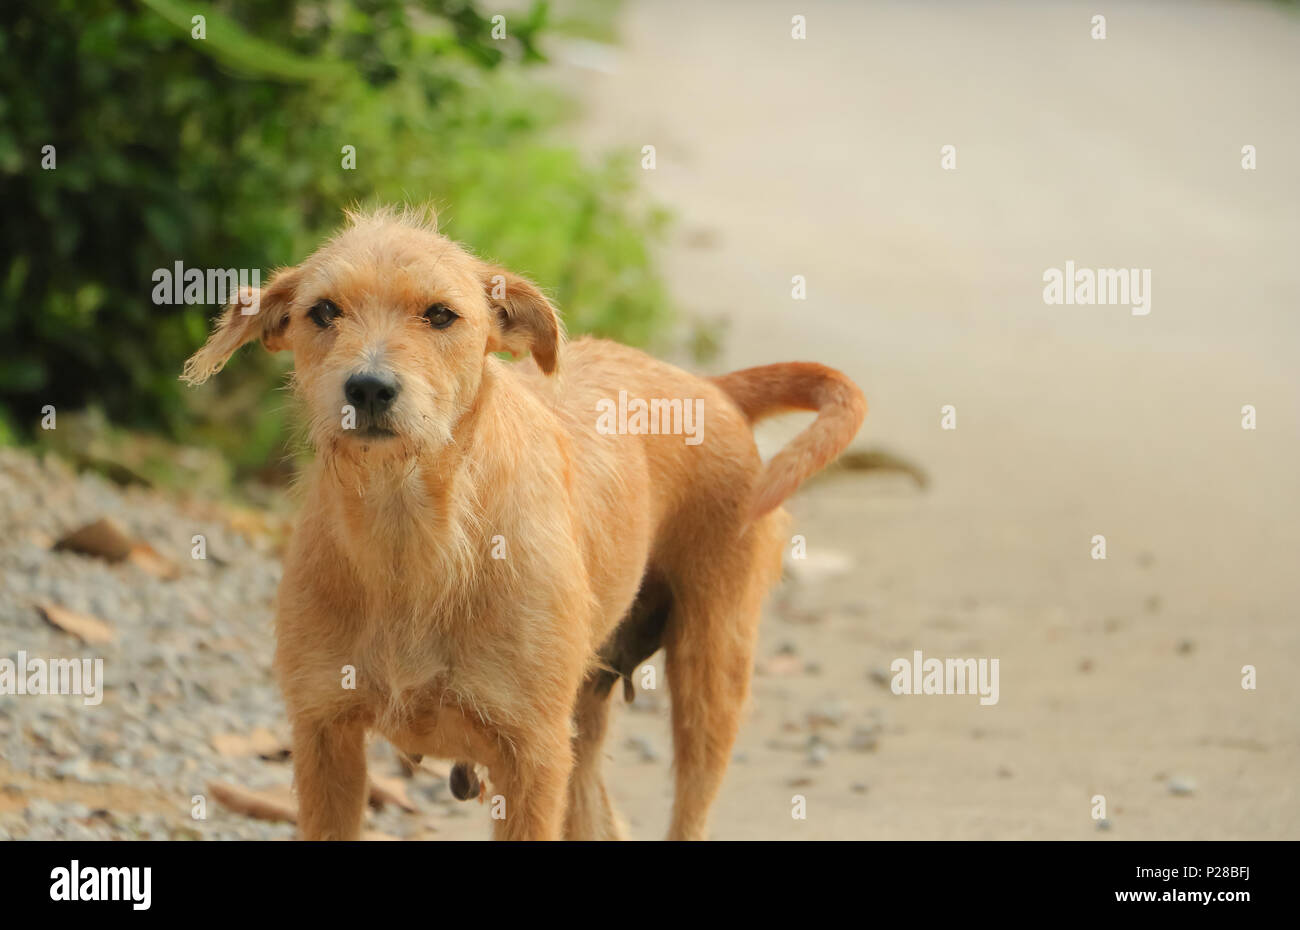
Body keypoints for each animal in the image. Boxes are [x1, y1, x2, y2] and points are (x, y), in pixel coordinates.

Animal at [183, 206, 868, 842]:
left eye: (440, 315)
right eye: (323, 312)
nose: (370, 388)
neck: (413, 536)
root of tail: (709, 387)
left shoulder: (533, 756)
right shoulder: (325, 736)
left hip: (710, 675)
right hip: (588, 719)